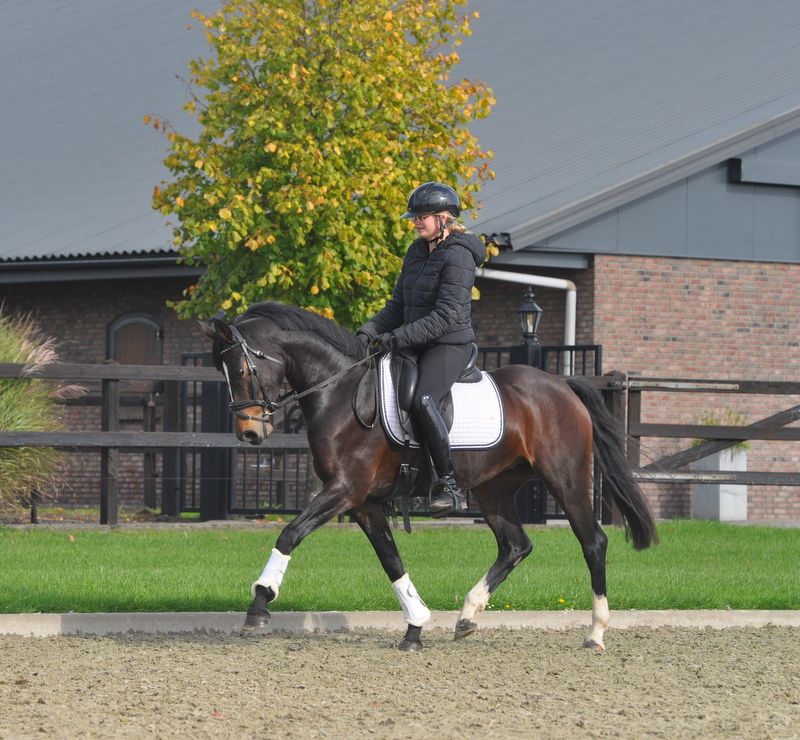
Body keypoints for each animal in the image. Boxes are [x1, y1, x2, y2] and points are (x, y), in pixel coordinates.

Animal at [201, 302, 657, 652]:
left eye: (240, 369)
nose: (249, 433)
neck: (342, 393)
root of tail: (561, 386)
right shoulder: (364, 503)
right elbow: (391, 560)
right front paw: (415, 626)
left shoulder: (345, 490)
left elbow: (289, 534)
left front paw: (260, 602)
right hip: (493, 489)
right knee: (515, 546)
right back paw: (468, 616)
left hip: (566, 479)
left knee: (593, 542)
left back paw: (596, 633)